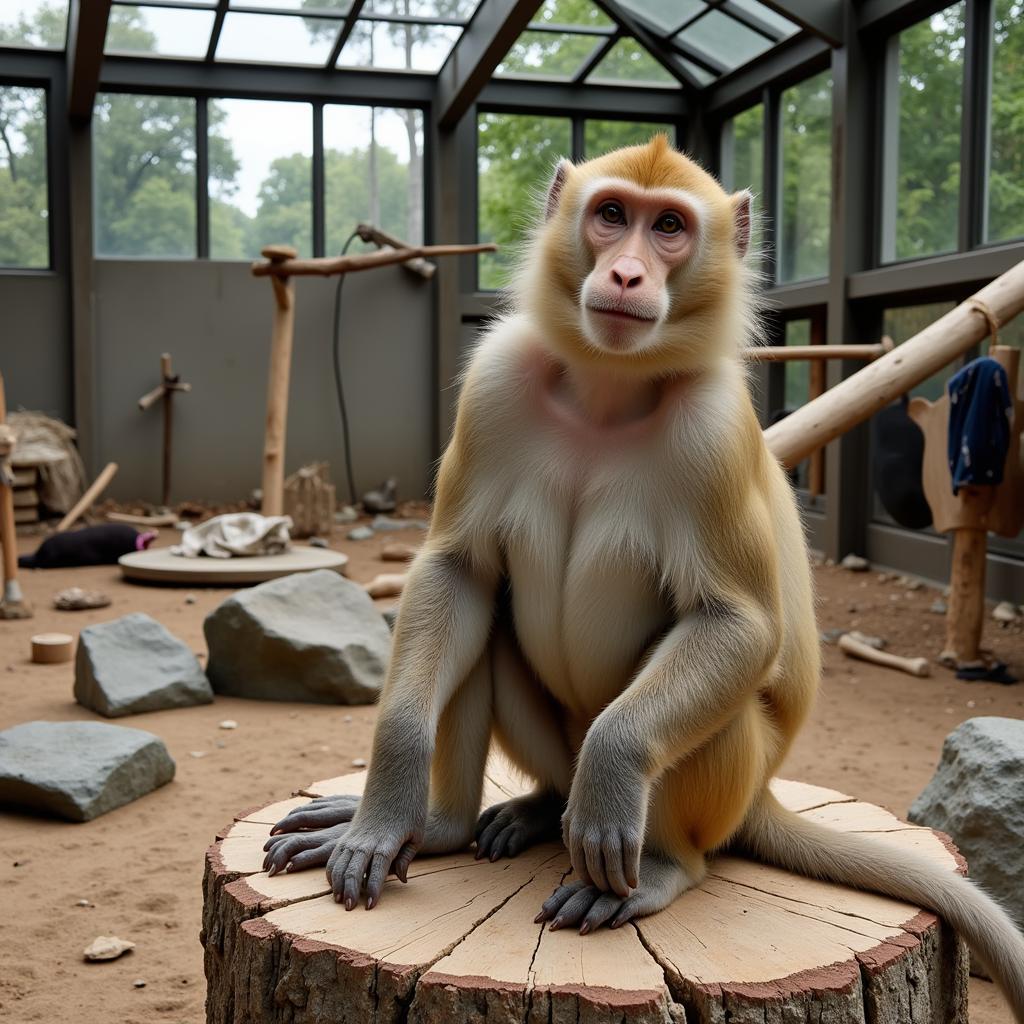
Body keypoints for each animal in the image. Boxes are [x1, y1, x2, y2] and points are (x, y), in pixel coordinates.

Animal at [266, 136, 1024, 1015]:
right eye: (610, 215)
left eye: (668, 227)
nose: (627, 274)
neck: (605, 390)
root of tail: (760, 800)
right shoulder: (495, 380)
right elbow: (458, 572)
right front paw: (385, 811)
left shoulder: (714, 428)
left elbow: (738, 625)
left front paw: (615, 768)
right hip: (555, 747)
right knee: (485, 620)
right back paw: (464, 821)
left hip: (729, 781)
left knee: (711, 718)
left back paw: (656, 861)